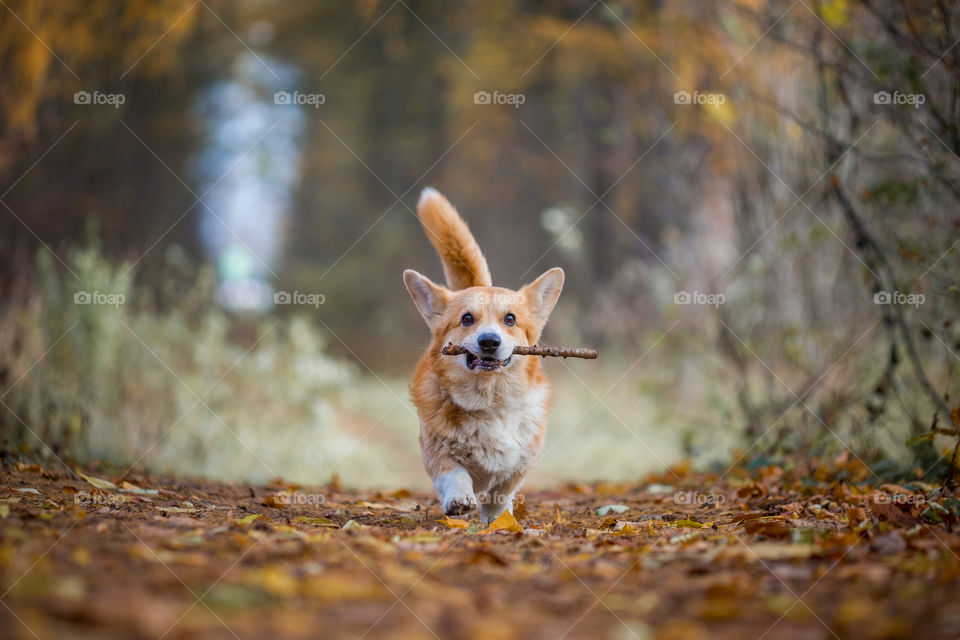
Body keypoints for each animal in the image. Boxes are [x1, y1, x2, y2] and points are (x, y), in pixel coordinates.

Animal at [404, 188, 564, 524]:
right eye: (467, 318)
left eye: (510, 319)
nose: (489, 341)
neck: (489, 401)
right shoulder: (437, 452)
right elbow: (455, 474)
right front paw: (459, 500)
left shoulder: (522, 462)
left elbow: (501, 491)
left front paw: (499, 521)